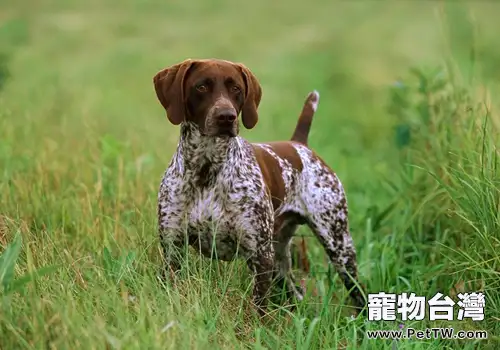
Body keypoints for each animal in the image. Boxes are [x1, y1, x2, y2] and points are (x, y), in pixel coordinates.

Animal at [151, 58, 364, 316]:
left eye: (236, 88)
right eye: (201, 86)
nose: (226, 116)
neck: (206, 168)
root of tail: (299, 145)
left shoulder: (260, 254)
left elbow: (259, 310)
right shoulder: (173, 249)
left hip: (338, 244)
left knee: (358, 290)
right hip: (281, 257)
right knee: (295, 291)